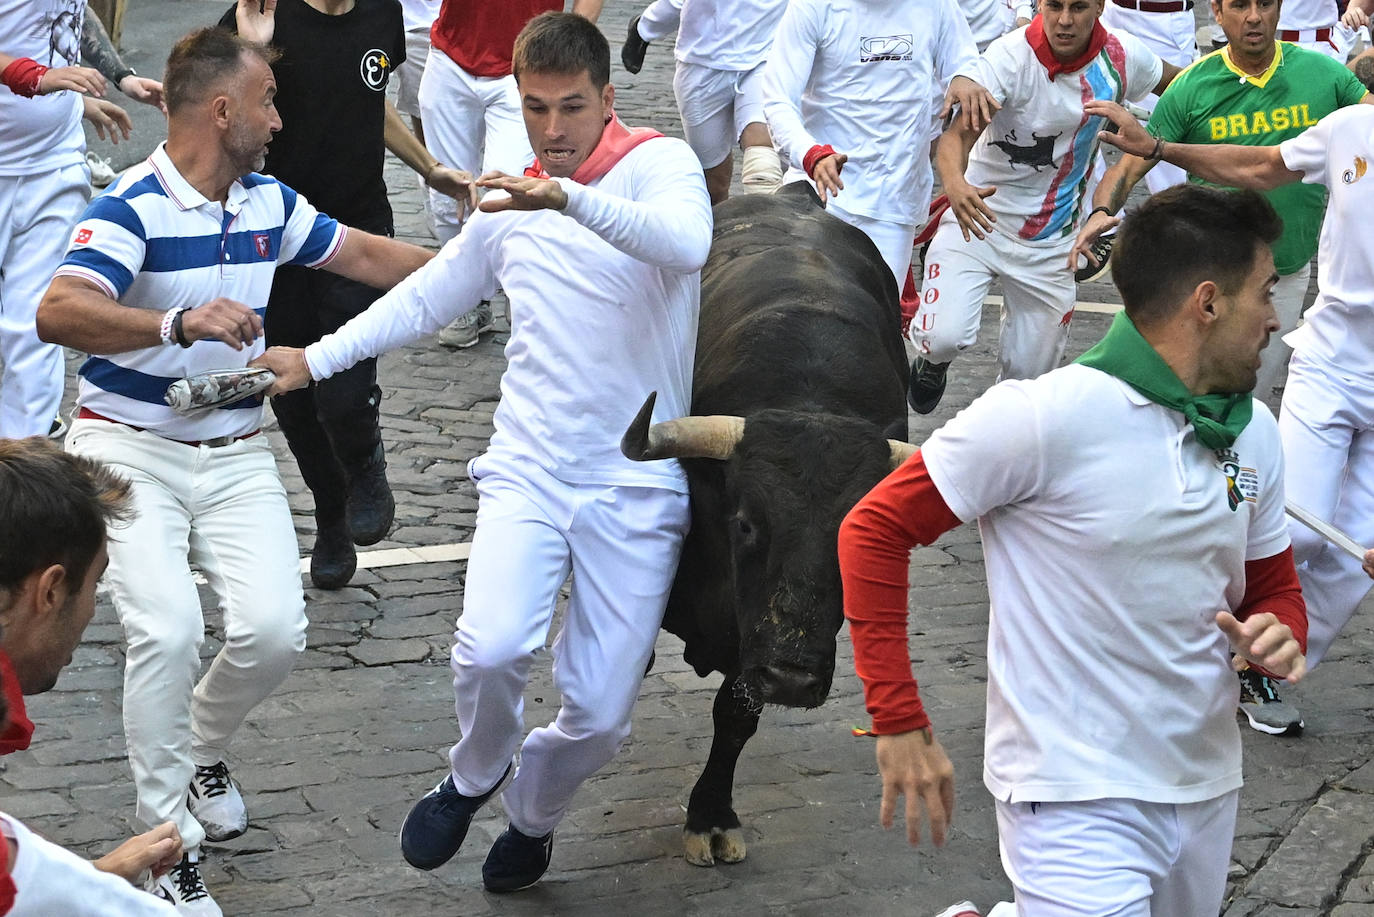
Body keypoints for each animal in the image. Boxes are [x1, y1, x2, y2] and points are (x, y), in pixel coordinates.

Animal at [623, 184, 912, 868]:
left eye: (857, 537)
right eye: (746, 524)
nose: (791, 676)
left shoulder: (750, 646)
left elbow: (736, 714)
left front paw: (711, 815)